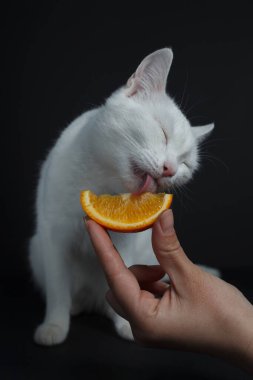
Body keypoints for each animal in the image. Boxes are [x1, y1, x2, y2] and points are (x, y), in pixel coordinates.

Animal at [29, 47, 214, 344]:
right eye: (162, 133)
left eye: (185, 164)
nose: (171, 169)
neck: (104, 181)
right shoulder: (54, 238)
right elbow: (57, 291)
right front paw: (54, 325)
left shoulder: (126, 246)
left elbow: (124, 277)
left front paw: (127, 322)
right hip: (35, 249)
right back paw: (76, 306)